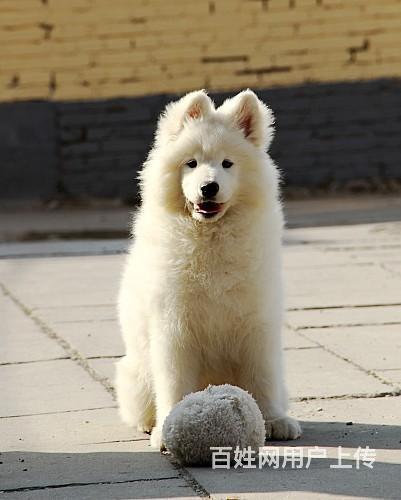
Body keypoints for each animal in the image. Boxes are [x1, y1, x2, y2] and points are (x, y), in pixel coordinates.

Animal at [115, 88, 300, 448]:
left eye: (228, 163)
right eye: (192, 163)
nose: (208, 187)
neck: (210, 236)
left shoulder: (257, 319)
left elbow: (263, 375)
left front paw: (274, 420)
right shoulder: (173, 325)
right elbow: (174, 382)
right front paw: (167, 428)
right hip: (137, 374)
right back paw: (148, 423)